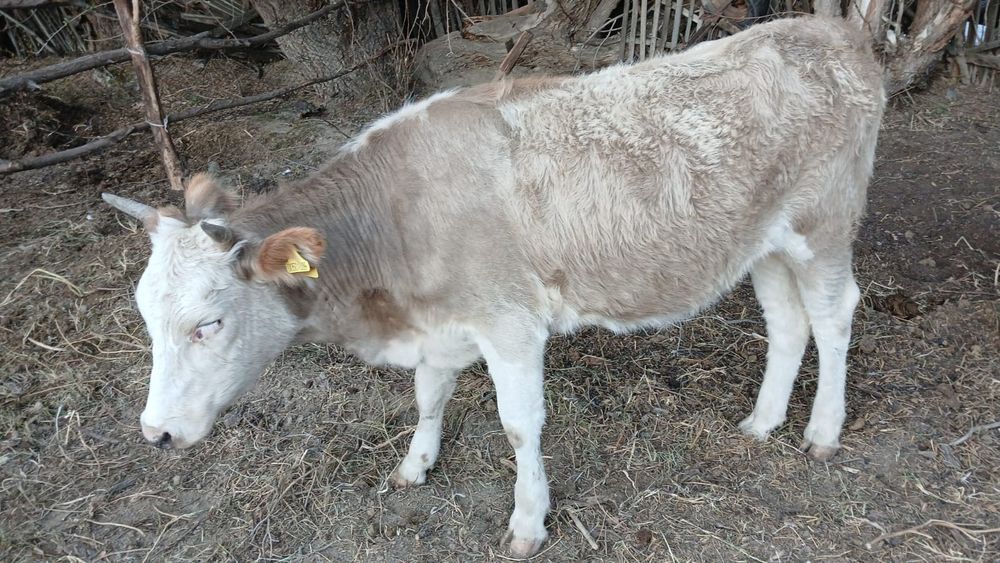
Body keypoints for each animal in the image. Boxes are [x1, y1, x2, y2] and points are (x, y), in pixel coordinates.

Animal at [103, 15, 885, 557]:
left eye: (208, 323)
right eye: (143, 317)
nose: (155, 433)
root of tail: (831, 30)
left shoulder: (509, 320)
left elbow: (519, 423)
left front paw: (528, 521)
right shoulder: (440, 324)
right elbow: (428, 395)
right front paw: (414, 465)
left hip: (823, 223)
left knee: (835, 314)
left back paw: (821, 432)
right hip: (765, 244)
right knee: (787, 322)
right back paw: (762, 422)